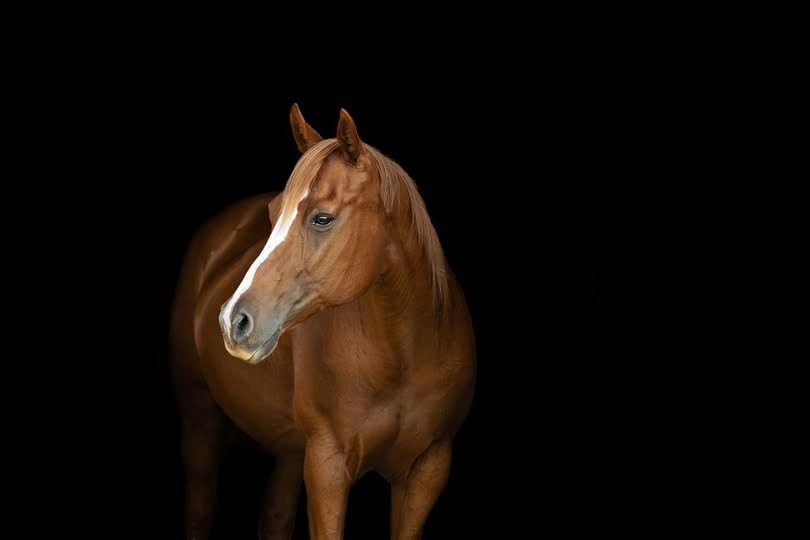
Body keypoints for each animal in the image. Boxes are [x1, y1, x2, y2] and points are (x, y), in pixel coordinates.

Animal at [171, 104, 476, 539]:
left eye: (322, 219)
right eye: (272, 214)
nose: (233, 320)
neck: (403, 359)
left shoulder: (427, 471)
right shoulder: (326, 467)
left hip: (288, 448)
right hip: (200, 414)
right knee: (200, 508)